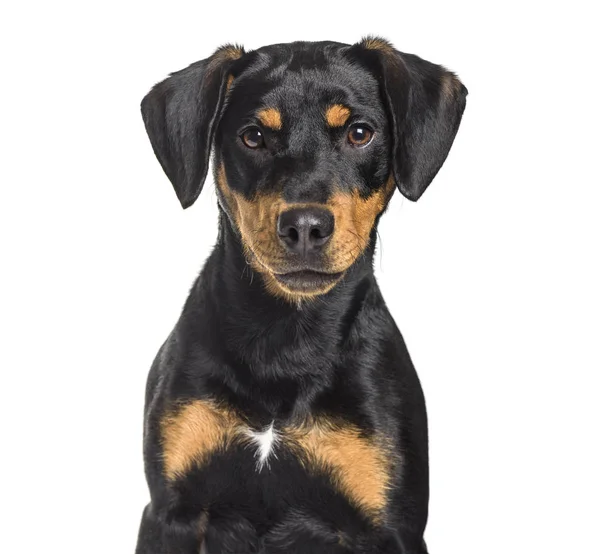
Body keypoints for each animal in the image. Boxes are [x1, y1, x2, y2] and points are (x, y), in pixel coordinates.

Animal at [137, 38, 468, 552]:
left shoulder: (391, 528)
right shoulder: (171, 513)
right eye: (253, 136)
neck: (286, 340)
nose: (306, 226)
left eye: (359, 133)